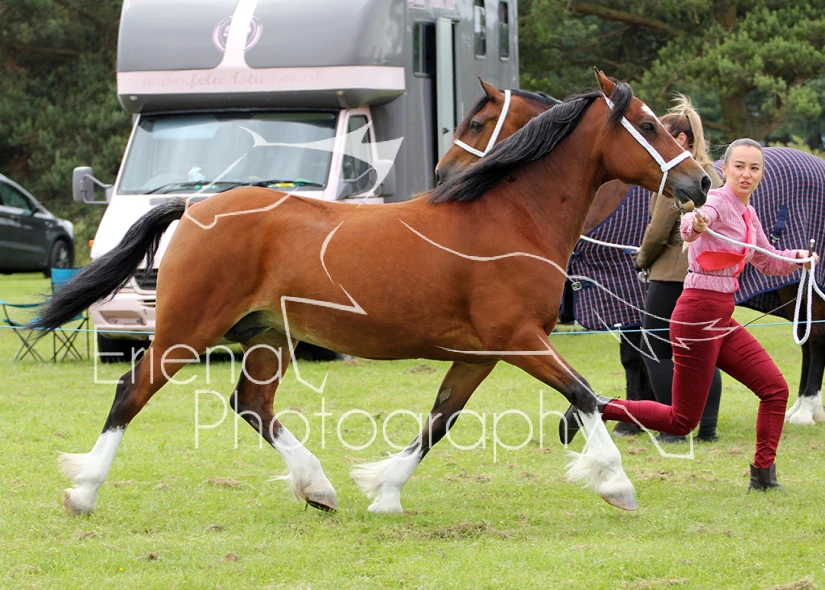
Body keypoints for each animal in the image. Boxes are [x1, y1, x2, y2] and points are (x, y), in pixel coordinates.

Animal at [31, 70, 710, 517]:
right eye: (648, 126)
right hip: (186, 328)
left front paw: (383, 490)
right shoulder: (518, 340)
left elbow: (441, 419)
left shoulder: (480, 354)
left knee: (252, 404)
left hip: (269, 336)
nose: (700, 182)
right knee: (132, 389)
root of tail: (197, 205)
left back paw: (317, 487)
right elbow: (586, 394)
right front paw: (617, 485)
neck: (509, 217)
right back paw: (83, 491)